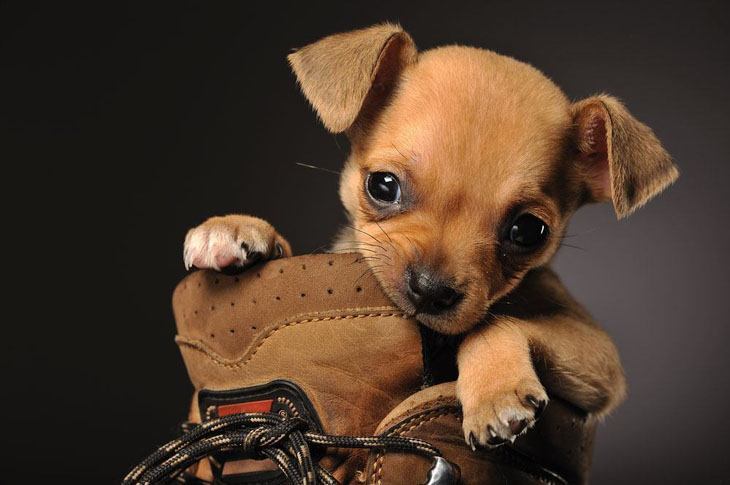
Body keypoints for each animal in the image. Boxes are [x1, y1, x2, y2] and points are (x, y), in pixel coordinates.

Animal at [182, 24, 676, 450]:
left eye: (529, 232)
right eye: (382, 186)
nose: (430, 289)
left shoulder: (595, 357)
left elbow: (494, 322)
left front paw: (494, 391)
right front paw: (236, 228)